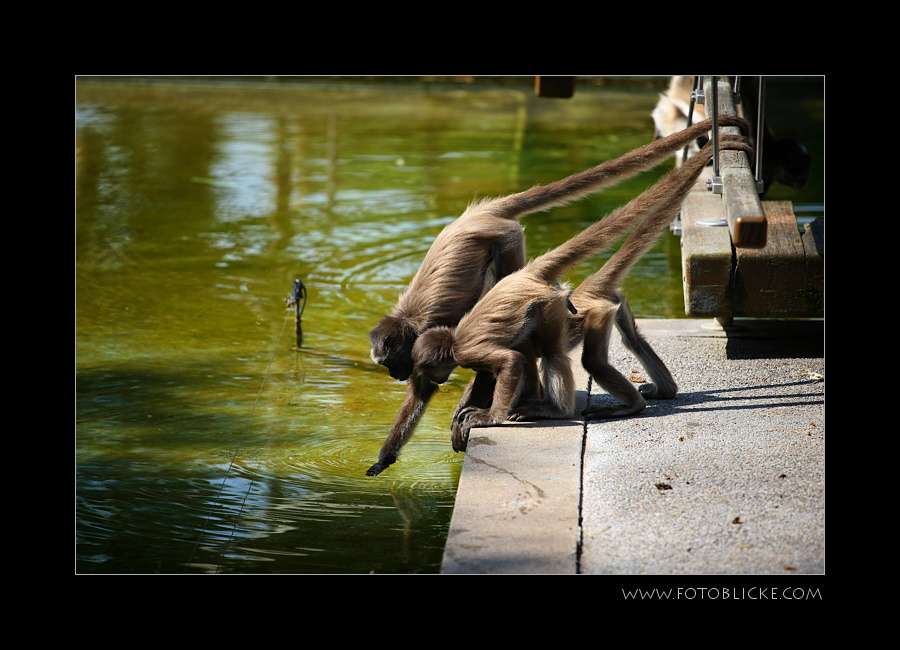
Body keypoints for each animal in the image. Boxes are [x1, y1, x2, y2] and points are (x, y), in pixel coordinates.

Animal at [366, 114, 752, 474]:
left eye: (390, 363)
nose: (395, 375)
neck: (407, 320)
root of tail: (479, 213)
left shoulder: (441, 338)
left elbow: (493, 365)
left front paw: (476, 413)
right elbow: (423, 393)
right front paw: (385, 458)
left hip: (507, 244)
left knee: (545, 345)